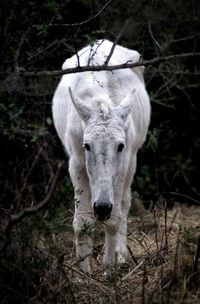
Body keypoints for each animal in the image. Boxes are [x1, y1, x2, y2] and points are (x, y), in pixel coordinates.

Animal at [51, 39, 150, 272]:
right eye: (86, 145)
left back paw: (121, 255)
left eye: (120, 146)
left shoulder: (125, 160)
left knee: (125, 203)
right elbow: (82, 222)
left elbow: (113, 219)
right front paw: (83, 275)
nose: (102, 208)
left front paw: (110, 271)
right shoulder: (76, 163)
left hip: (133, 160)